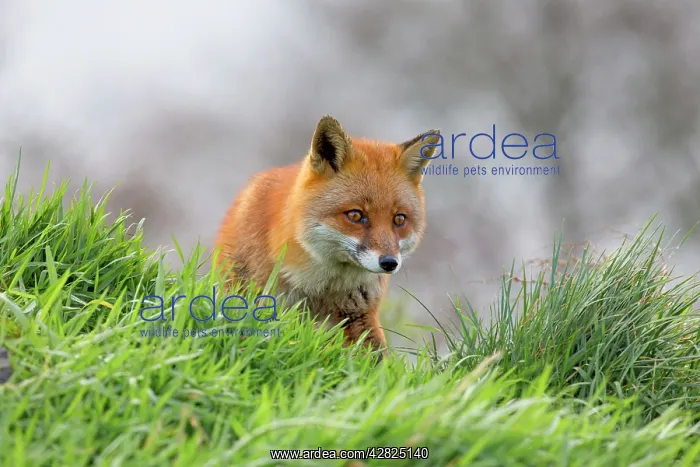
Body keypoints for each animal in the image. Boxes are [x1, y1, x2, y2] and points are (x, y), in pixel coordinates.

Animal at [213, 115, 440, 358]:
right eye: (355, 215)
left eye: (399, 219)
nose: (389, 263)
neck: (319, 288)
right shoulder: (263, 302)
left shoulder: (360, 315)